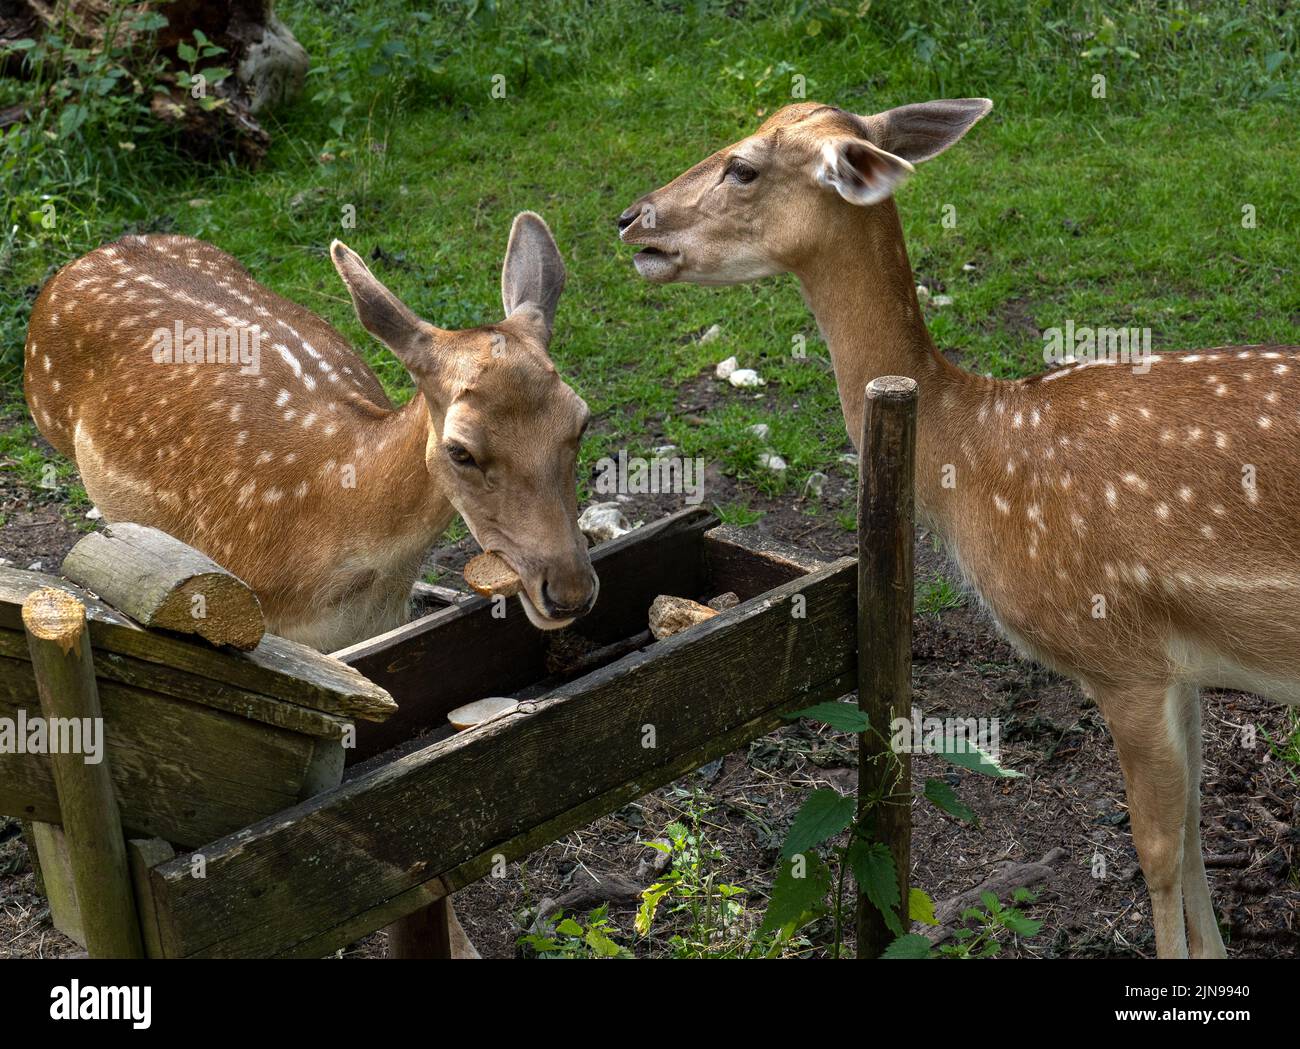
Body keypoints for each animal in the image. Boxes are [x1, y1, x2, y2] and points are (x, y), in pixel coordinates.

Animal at [621, 98, 1300, 961]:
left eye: (743, 165)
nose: (631, 219)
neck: (973, 449)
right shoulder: (1179, 663)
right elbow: (1192, 833)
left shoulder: (1121, 654)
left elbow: (1155, 848)